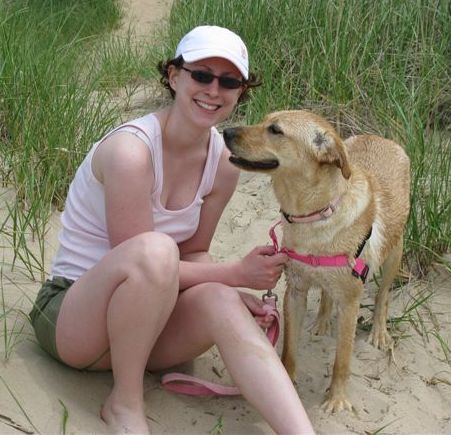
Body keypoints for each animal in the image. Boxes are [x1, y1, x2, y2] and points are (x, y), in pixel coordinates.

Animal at [224, 110, 412, 414]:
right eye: (265, 120)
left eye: (275, 130)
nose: (226, 132)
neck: (312, 217)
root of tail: (379, 137)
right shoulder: (295, 292)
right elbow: (289, 349)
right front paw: (287, 380)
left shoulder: (350, 303)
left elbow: (342, 360)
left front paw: (337, 399)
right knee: (325, 291)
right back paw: (322, 321)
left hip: (395, 251)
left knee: (383, 294)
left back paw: (379, 331)